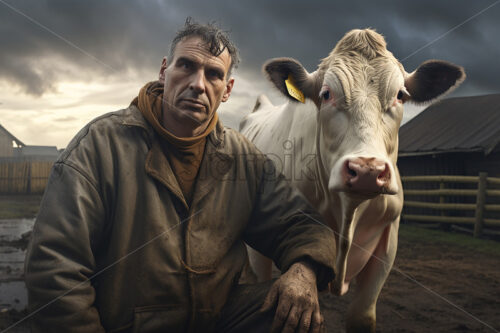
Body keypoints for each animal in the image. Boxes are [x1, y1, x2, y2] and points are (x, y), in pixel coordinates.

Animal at [239, 29, 464, 332]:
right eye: (326, 94)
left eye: (400, 95)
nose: (367, 170)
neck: (348, 213)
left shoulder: (387, 243)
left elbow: (361, 315)